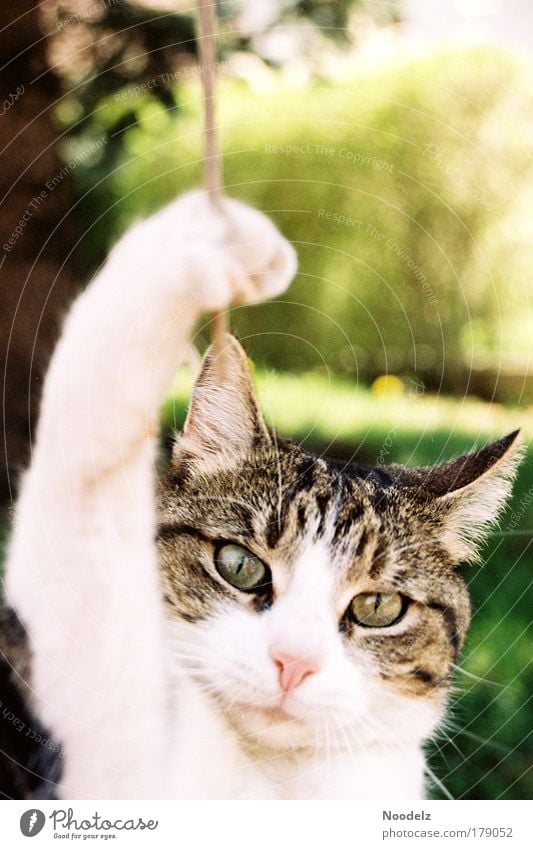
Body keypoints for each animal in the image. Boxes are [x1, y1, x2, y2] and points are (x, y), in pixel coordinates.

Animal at [0, 189, 520, 800]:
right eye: (240, 566)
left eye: (377, 607)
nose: (293, 662)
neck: (272, 772)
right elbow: (87, 475)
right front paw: (198, 237)